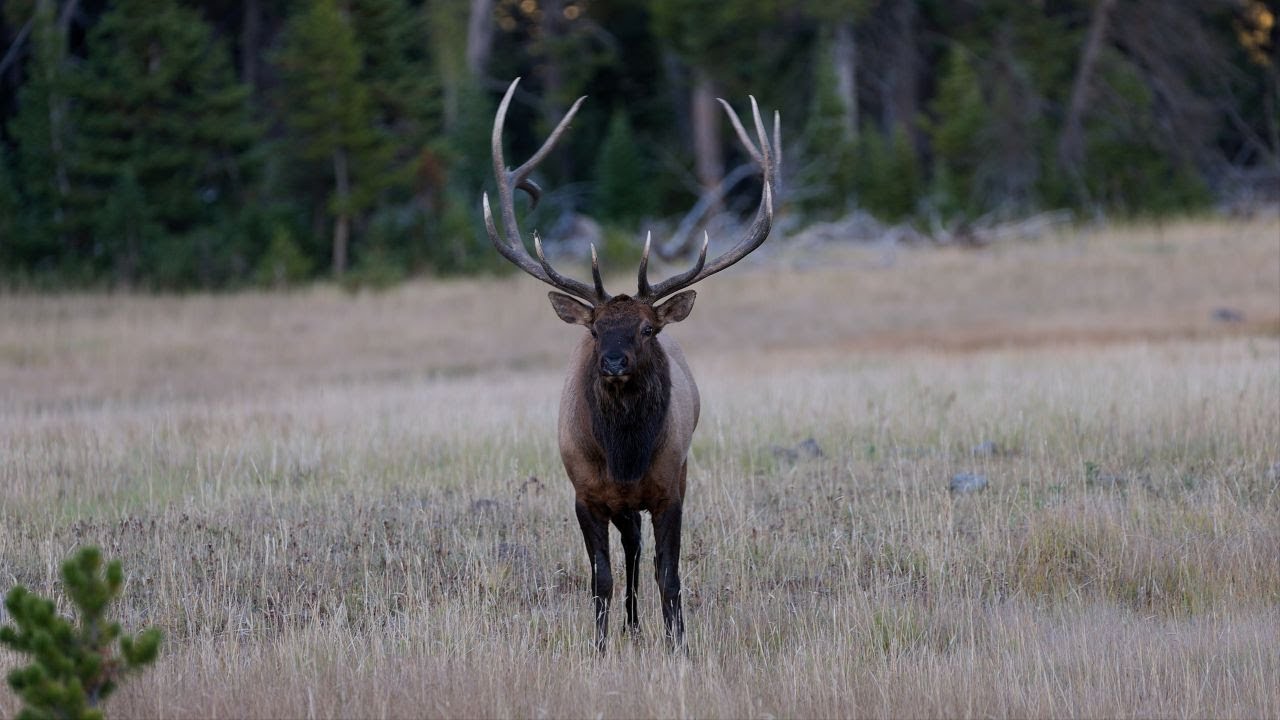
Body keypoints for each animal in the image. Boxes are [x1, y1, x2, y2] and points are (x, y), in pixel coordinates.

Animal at [483, 78, 777, 652]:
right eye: (596, 329)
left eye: (646, 329)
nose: (614, 361)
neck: (624, 456)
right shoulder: (585, 494)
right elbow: (600, 577)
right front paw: (599, 647)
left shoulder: (670, 488)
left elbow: (670, 573)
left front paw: (678, 644)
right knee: (630, 549)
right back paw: (631, 625)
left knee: (641, 550)